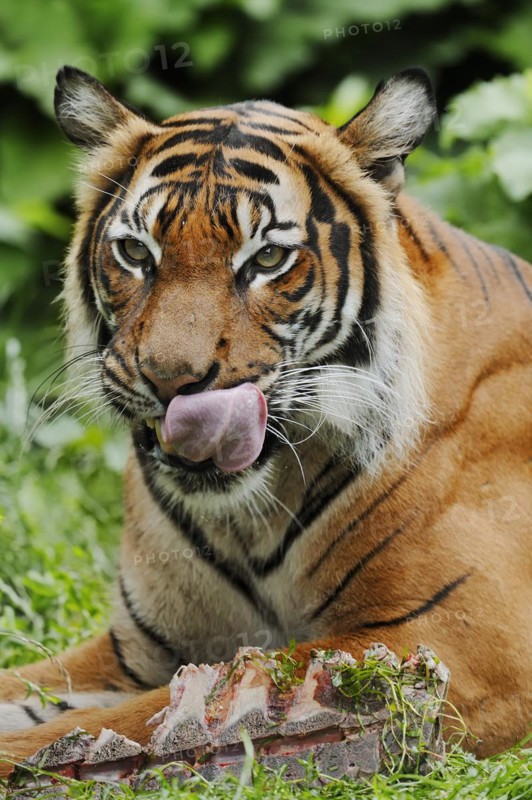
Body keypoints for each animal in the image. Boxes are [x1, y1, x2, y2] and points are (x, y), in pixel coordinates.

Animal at [0, 65, 530, 775]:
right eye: (136, 252)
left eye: (268, 260)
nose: (171, 381)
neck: (248, 518)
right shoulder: (135, 652)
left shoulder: (455, 643)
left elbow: (110, 726)